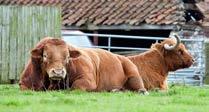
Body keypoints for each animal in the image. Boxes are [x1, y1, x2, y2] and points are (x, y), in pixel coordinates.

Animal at [18, 37, 148, 94]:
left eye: (67, 57)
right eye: (45, 56)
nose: (58, 72)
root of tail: (121, 57)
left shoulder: (87, 80)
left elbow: (75, 87)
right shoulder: (24, 84)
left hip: (133, 74)